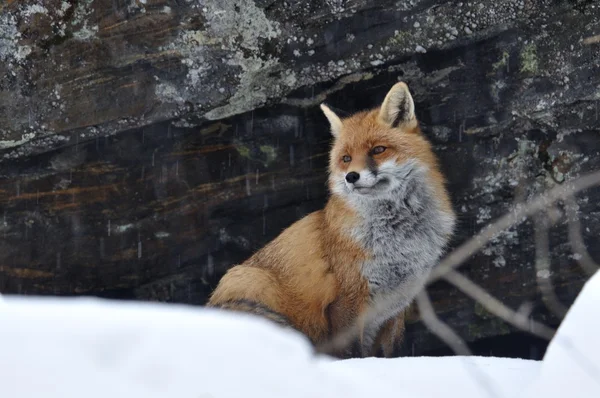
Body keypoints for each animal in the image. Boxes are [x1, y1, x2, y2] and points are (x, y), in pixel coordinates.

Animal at [206, 81, 454, 358]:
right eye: (346, 158)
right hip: (248, 278)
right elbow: (351, 353)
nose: (351, 177)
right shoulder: (347, 299)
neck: (399, 240)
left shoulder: (397, 305)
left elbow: (394, 353)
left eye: (378, 150)